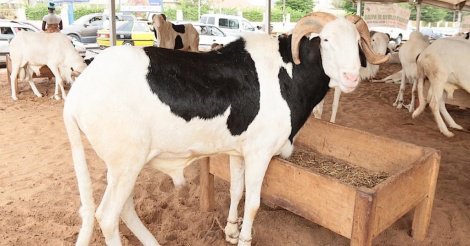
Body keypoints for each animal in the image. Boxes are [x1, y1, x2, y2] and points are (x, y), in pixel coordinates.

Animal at [63, 12, 386, 246]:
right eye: (326, 40)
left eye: (358, 42)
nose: (351, 77)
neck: (286, 75)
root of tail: (79, 89)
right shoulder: (259, 152)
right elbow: (253, 202)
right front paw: (244, 238)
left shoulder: (238, 149)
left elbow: (236, 190)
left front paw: (231, 231)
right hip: (126, 163)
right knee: (107, 216)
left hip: (123, 165)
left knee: (126, 209)